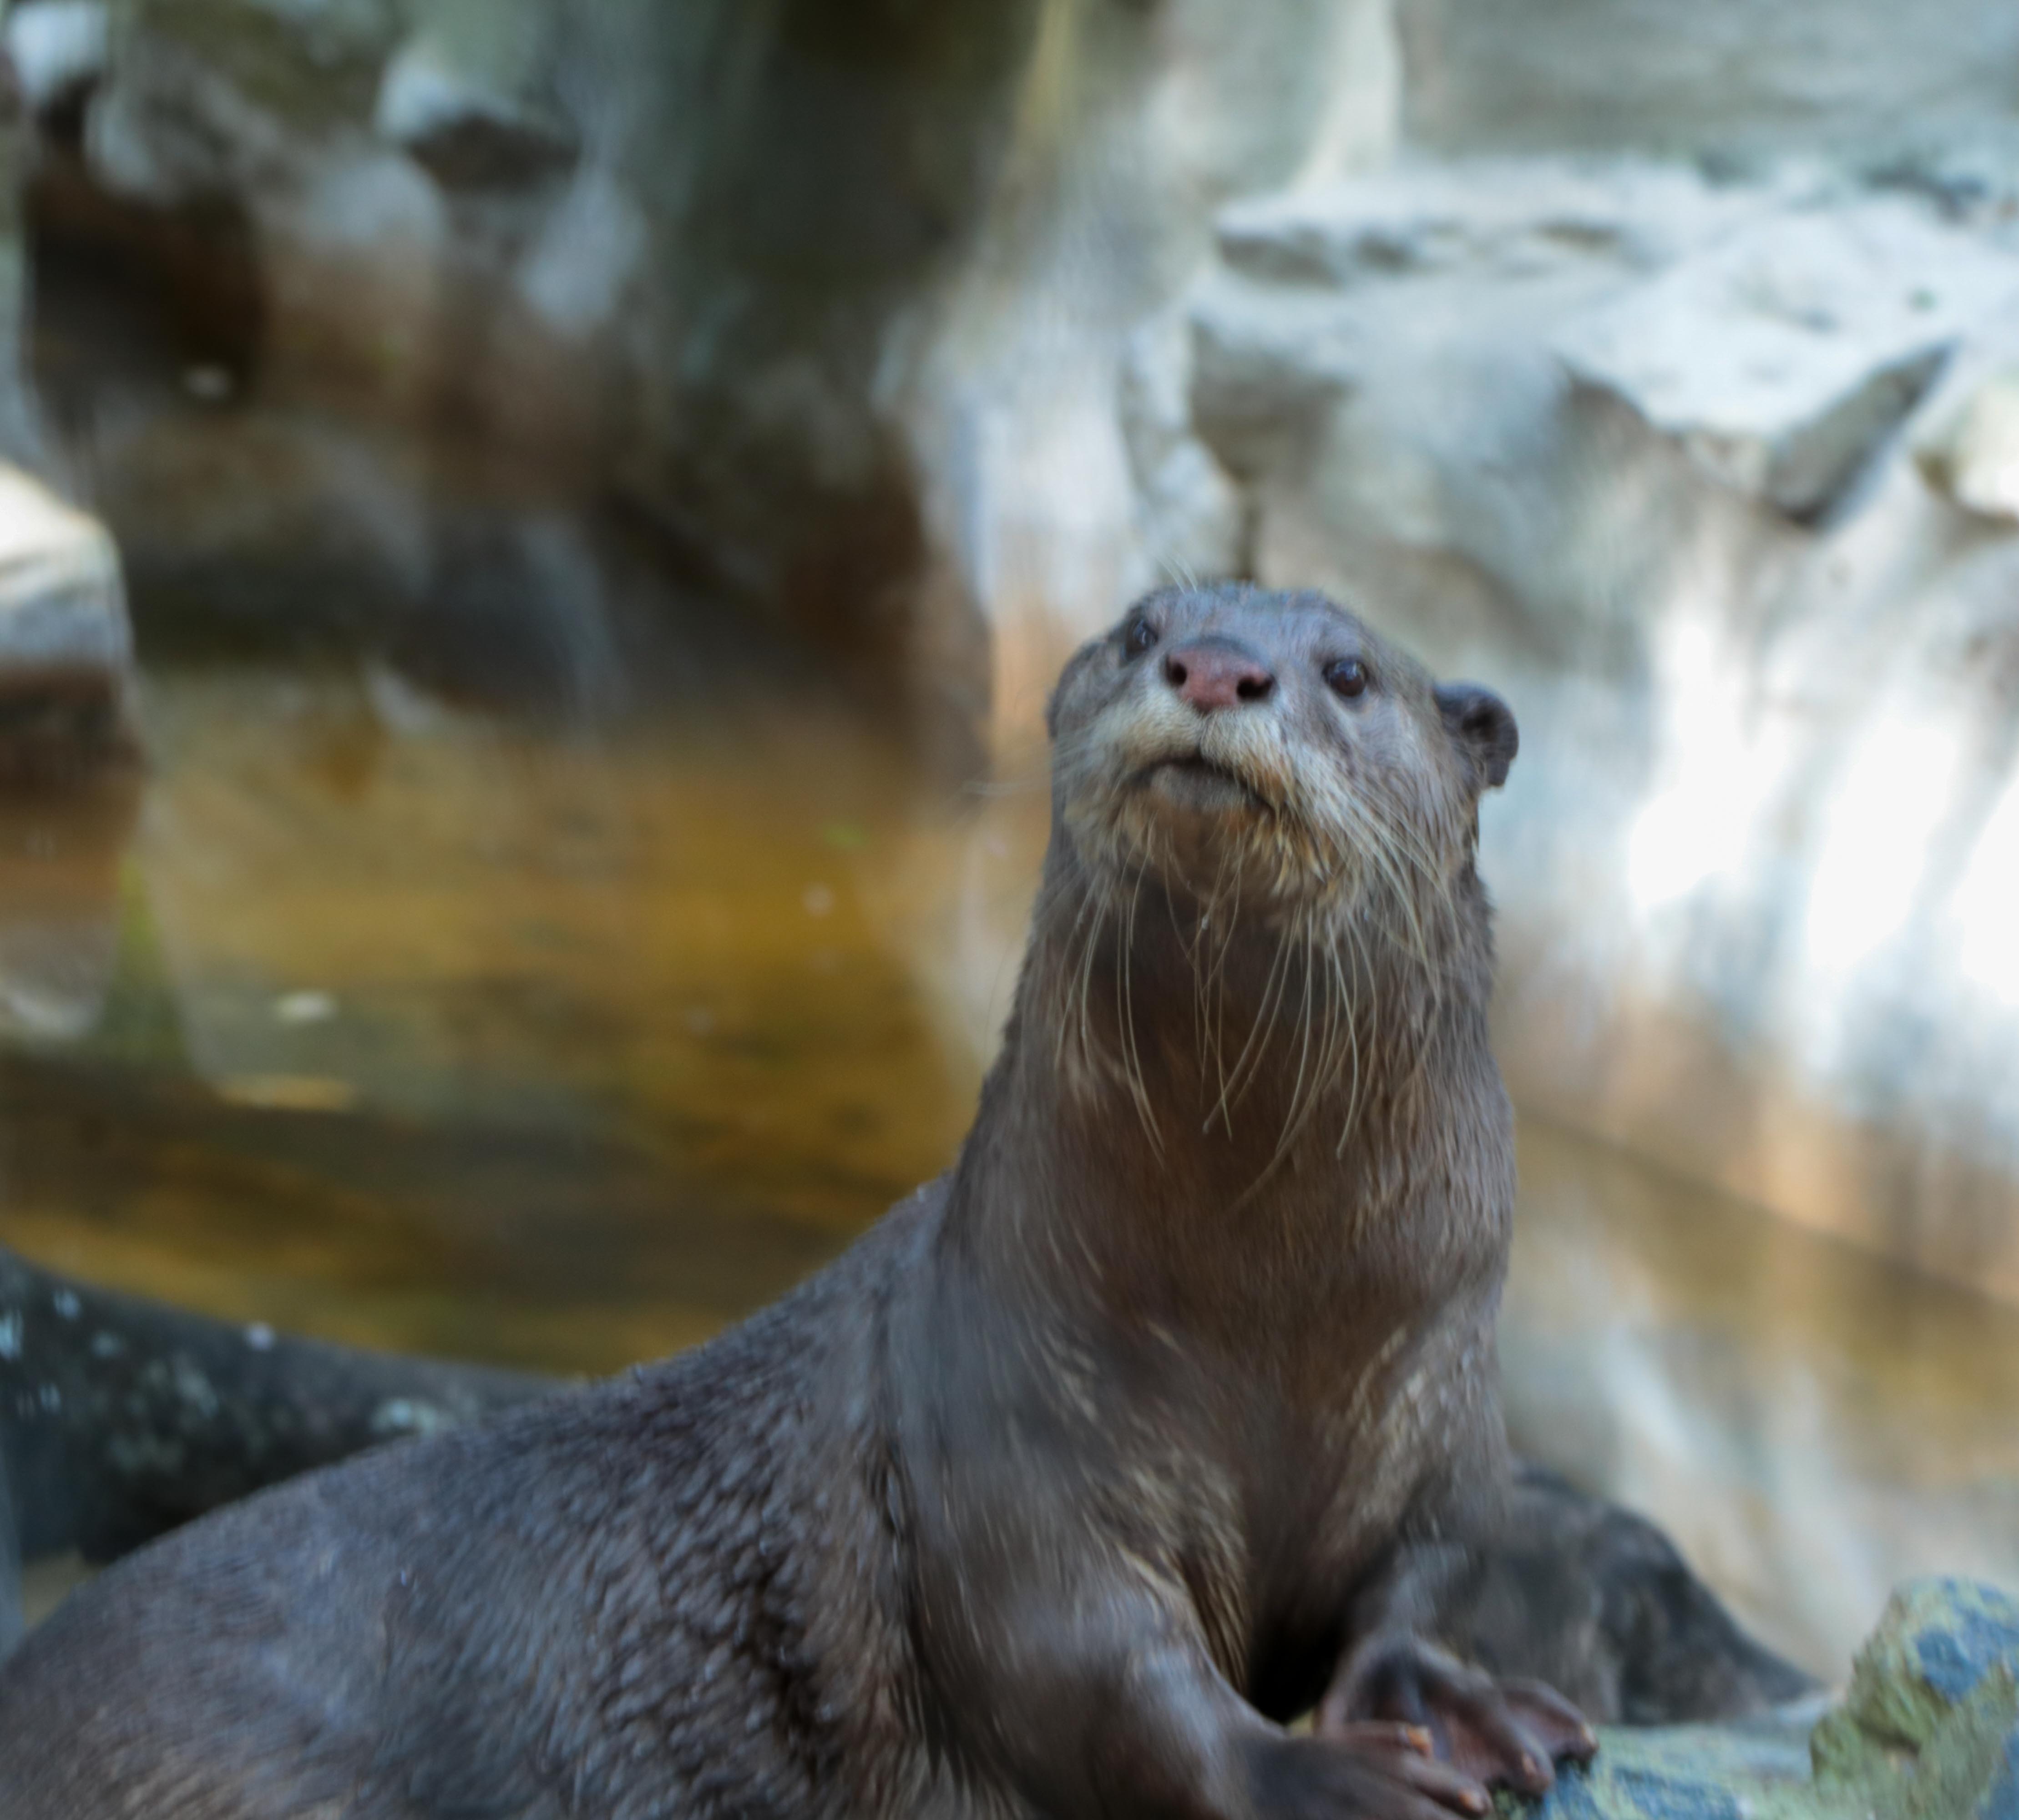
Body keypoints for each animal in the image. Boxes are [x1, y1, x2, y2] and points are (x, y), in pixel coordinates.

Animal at [0, 589, 1591, 1820]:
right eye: (1143, 624)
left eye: (1350, 673)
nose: (1211, 666)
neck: (1266, 1329)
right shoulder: (1004, 1442)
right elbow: (1099, 1676)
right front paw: (1325, 1779)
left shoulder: (1442, 1396)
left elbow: (1436, 1573)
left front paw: (1465, 1707)